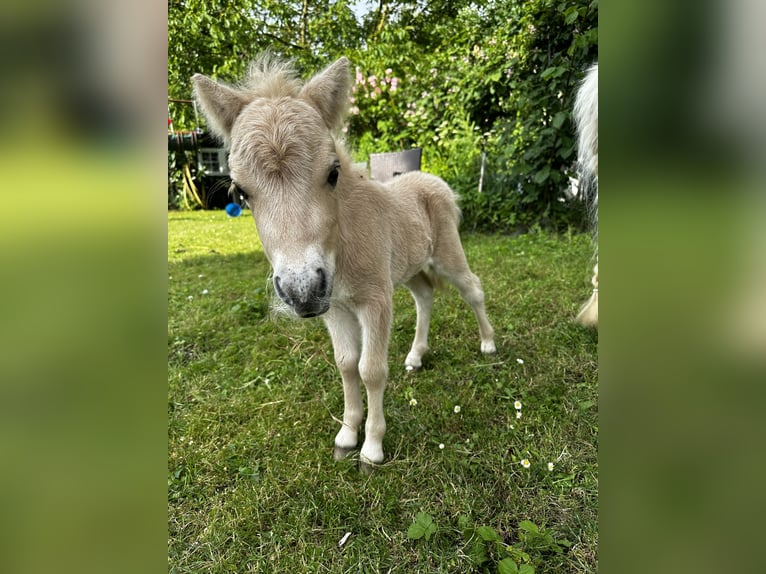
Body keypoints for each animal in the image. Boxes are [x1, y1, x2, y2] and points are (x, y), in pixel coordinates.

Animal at [192, 56, 498, 470]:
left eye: (333, 172)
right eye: (240, 191)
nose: (302, 292)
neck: (343, 243)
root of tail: (437, 183)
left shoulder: (375, 301)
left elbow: (371, 370)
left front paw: (372, 448)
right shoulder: (334, 306)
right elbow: (346, 364)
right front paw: (347, 435)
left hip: (448, 254)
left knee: (472, 289)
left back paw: (488, 344)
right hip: (410, 268)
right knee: (425, 296)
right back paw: (416, 356)